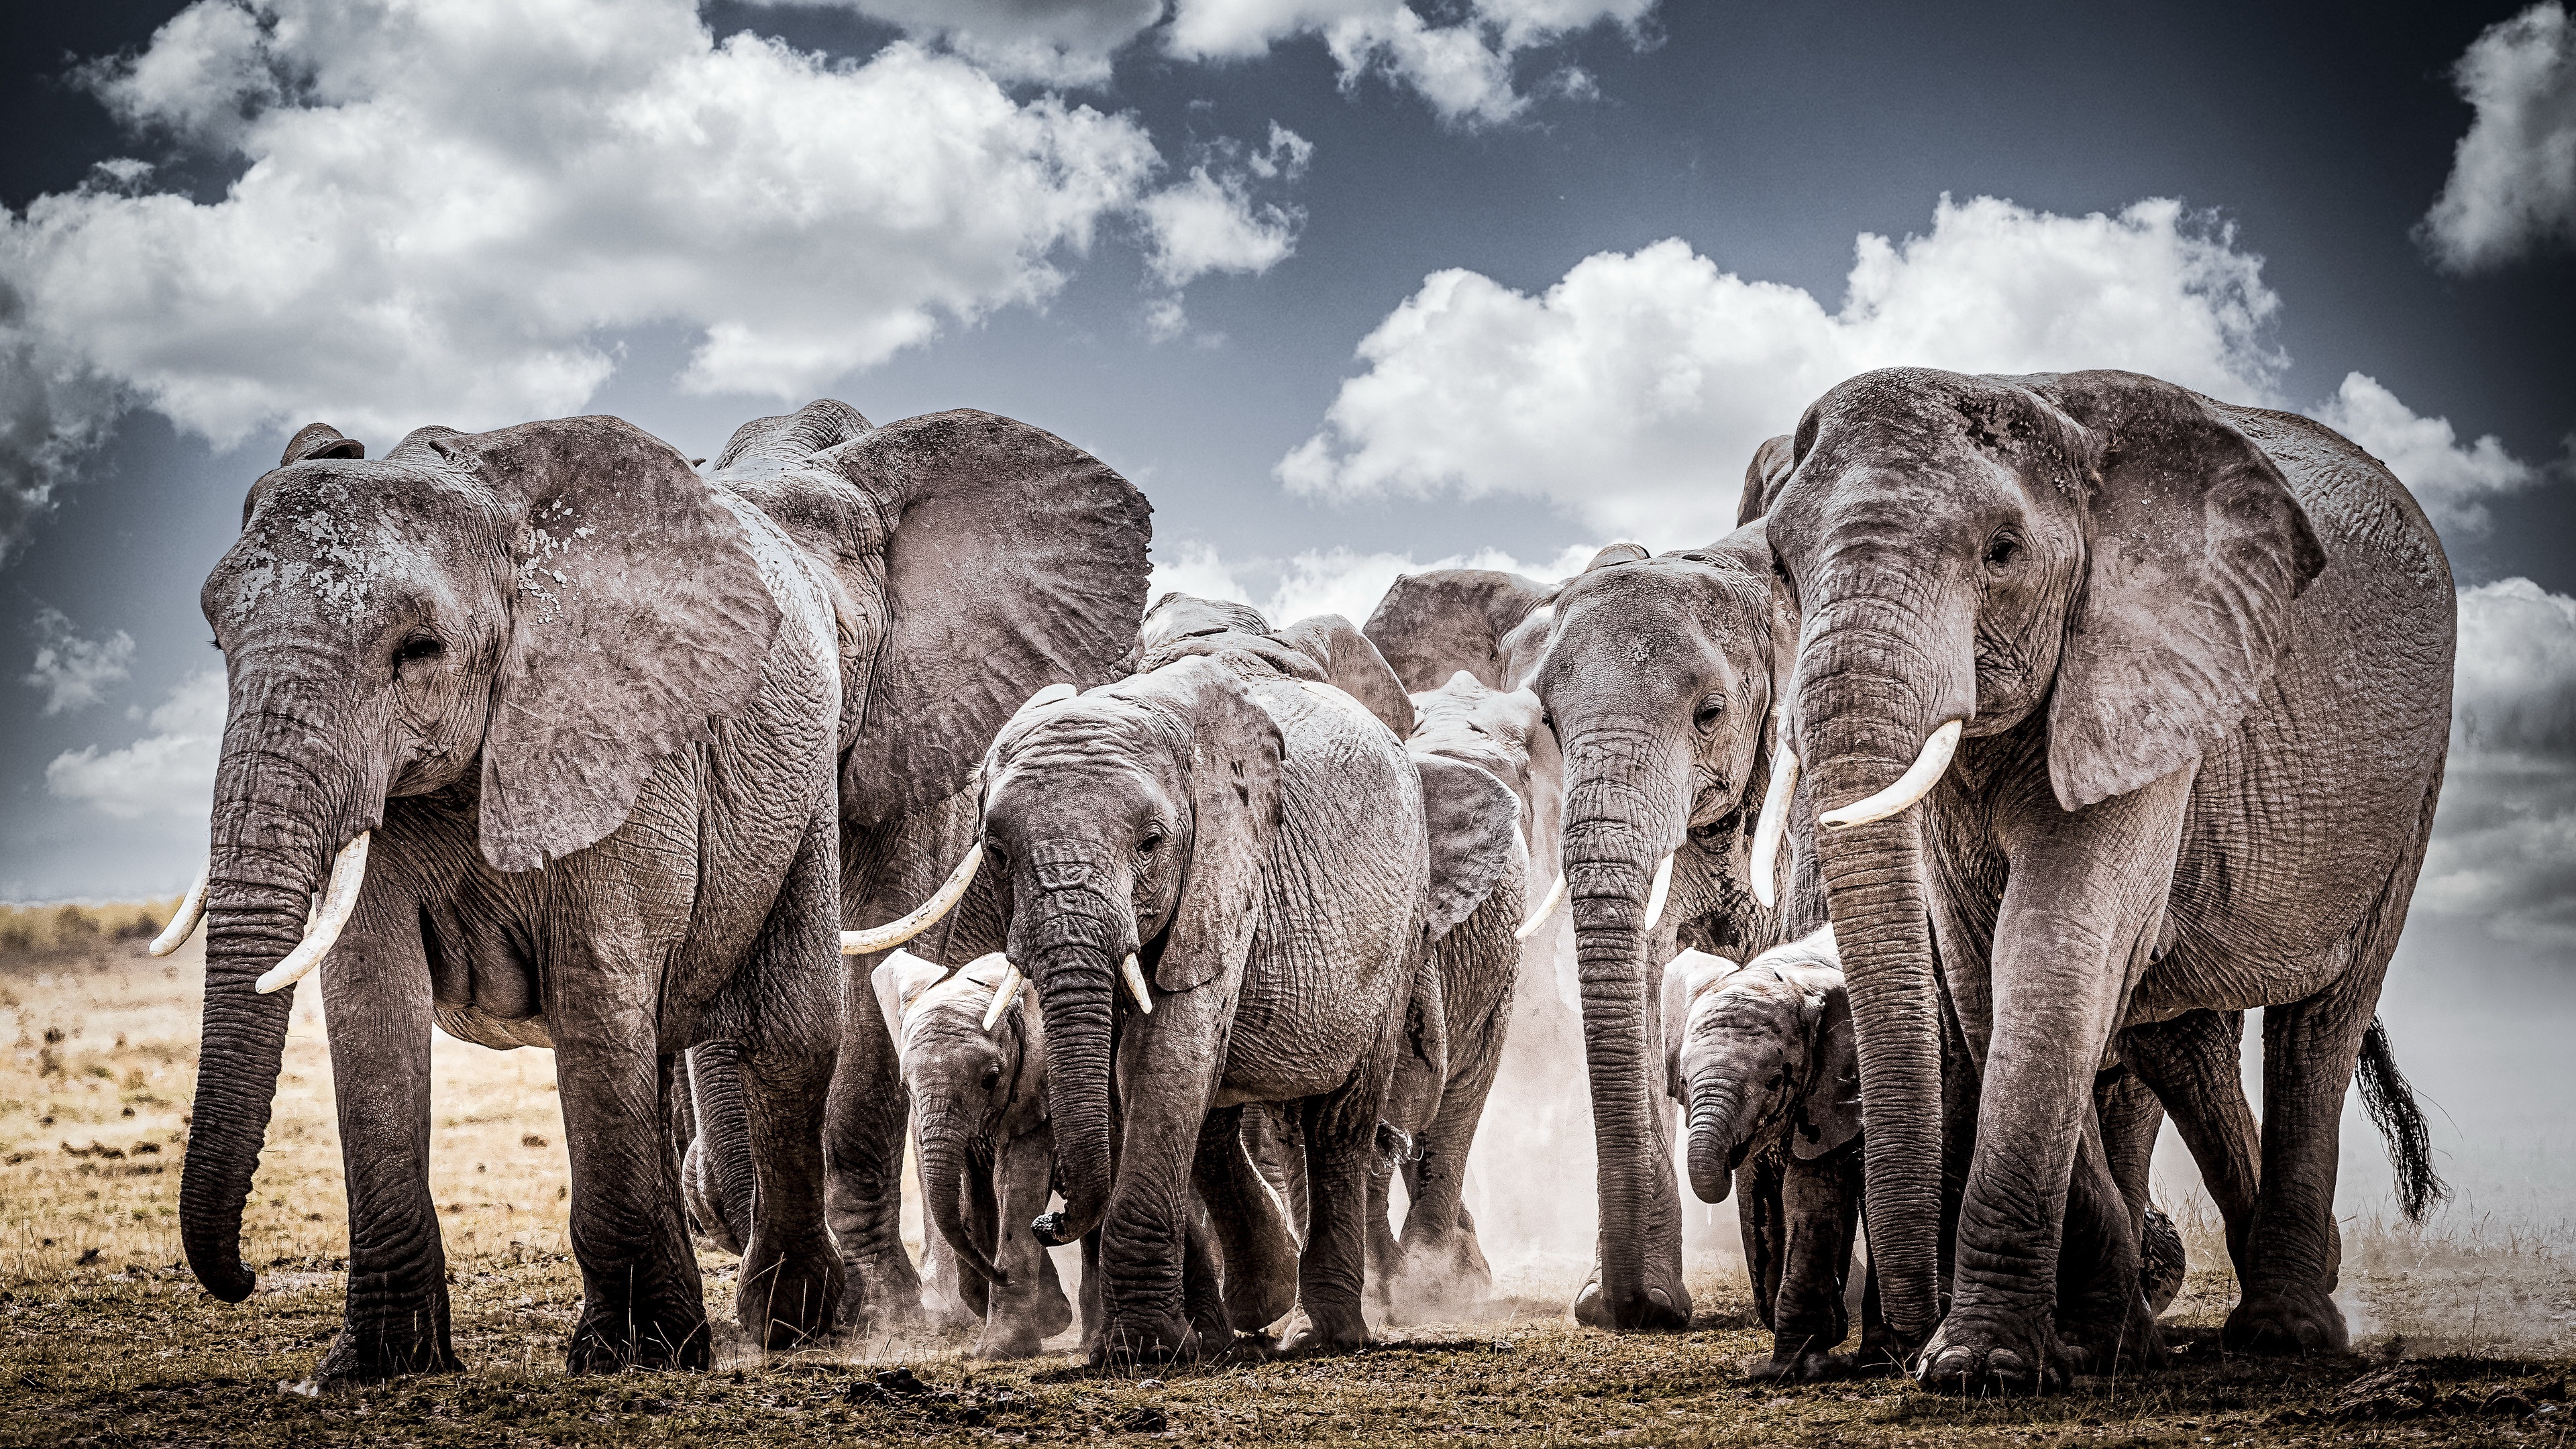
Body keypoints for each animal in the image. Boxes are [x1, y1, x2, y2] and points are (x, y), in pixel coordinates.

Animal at [175, 415, 853, 1386]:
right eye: (219, 646)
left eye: (417, 651)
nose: (243, 1278)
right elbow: (371, 1005)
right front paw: (381, 1367)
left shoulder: (622, 737)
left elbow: (595, 988)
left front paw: (626, 1360)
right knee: (653, 1050)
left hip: (804, 787)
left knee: (791, 1037)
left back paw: (788, 1326)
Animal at [870, 948, 1077, 1358]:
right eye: (906, 1085)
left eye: (991, 1079)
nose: (999, 1274)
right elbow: (972, 1188)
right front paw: (1045, 1318)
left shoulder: (1036, 1091)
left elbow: (1017, 1182)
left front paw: (999, 1349)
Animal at [1754, 367, 2453, 1390]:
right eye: (1780, 563)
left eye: (2002, 554)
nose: (1895, 1351)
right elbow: (1984, 968)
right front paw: (2091, 1349)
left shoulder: (2152, 669)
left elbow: (2054, 944)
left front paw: (1976, 1369)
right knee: (2184, 1041)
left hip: (2407, 793)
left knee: (2322, 1022)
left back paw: (2286, 1330)